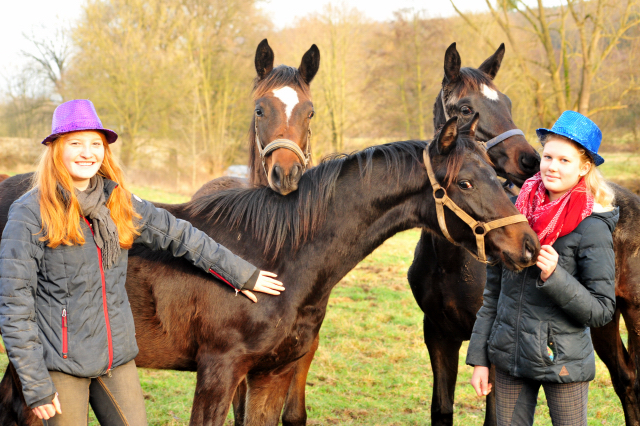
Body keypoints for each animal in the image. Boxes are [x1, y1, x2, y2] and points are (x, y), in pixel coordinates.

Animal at [0, 117, 540, 426]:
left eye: (497, 176)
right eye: (466, 182)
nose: (529, 246)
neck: (276, 258)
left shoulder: (272, 375)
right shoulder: (219, 372)